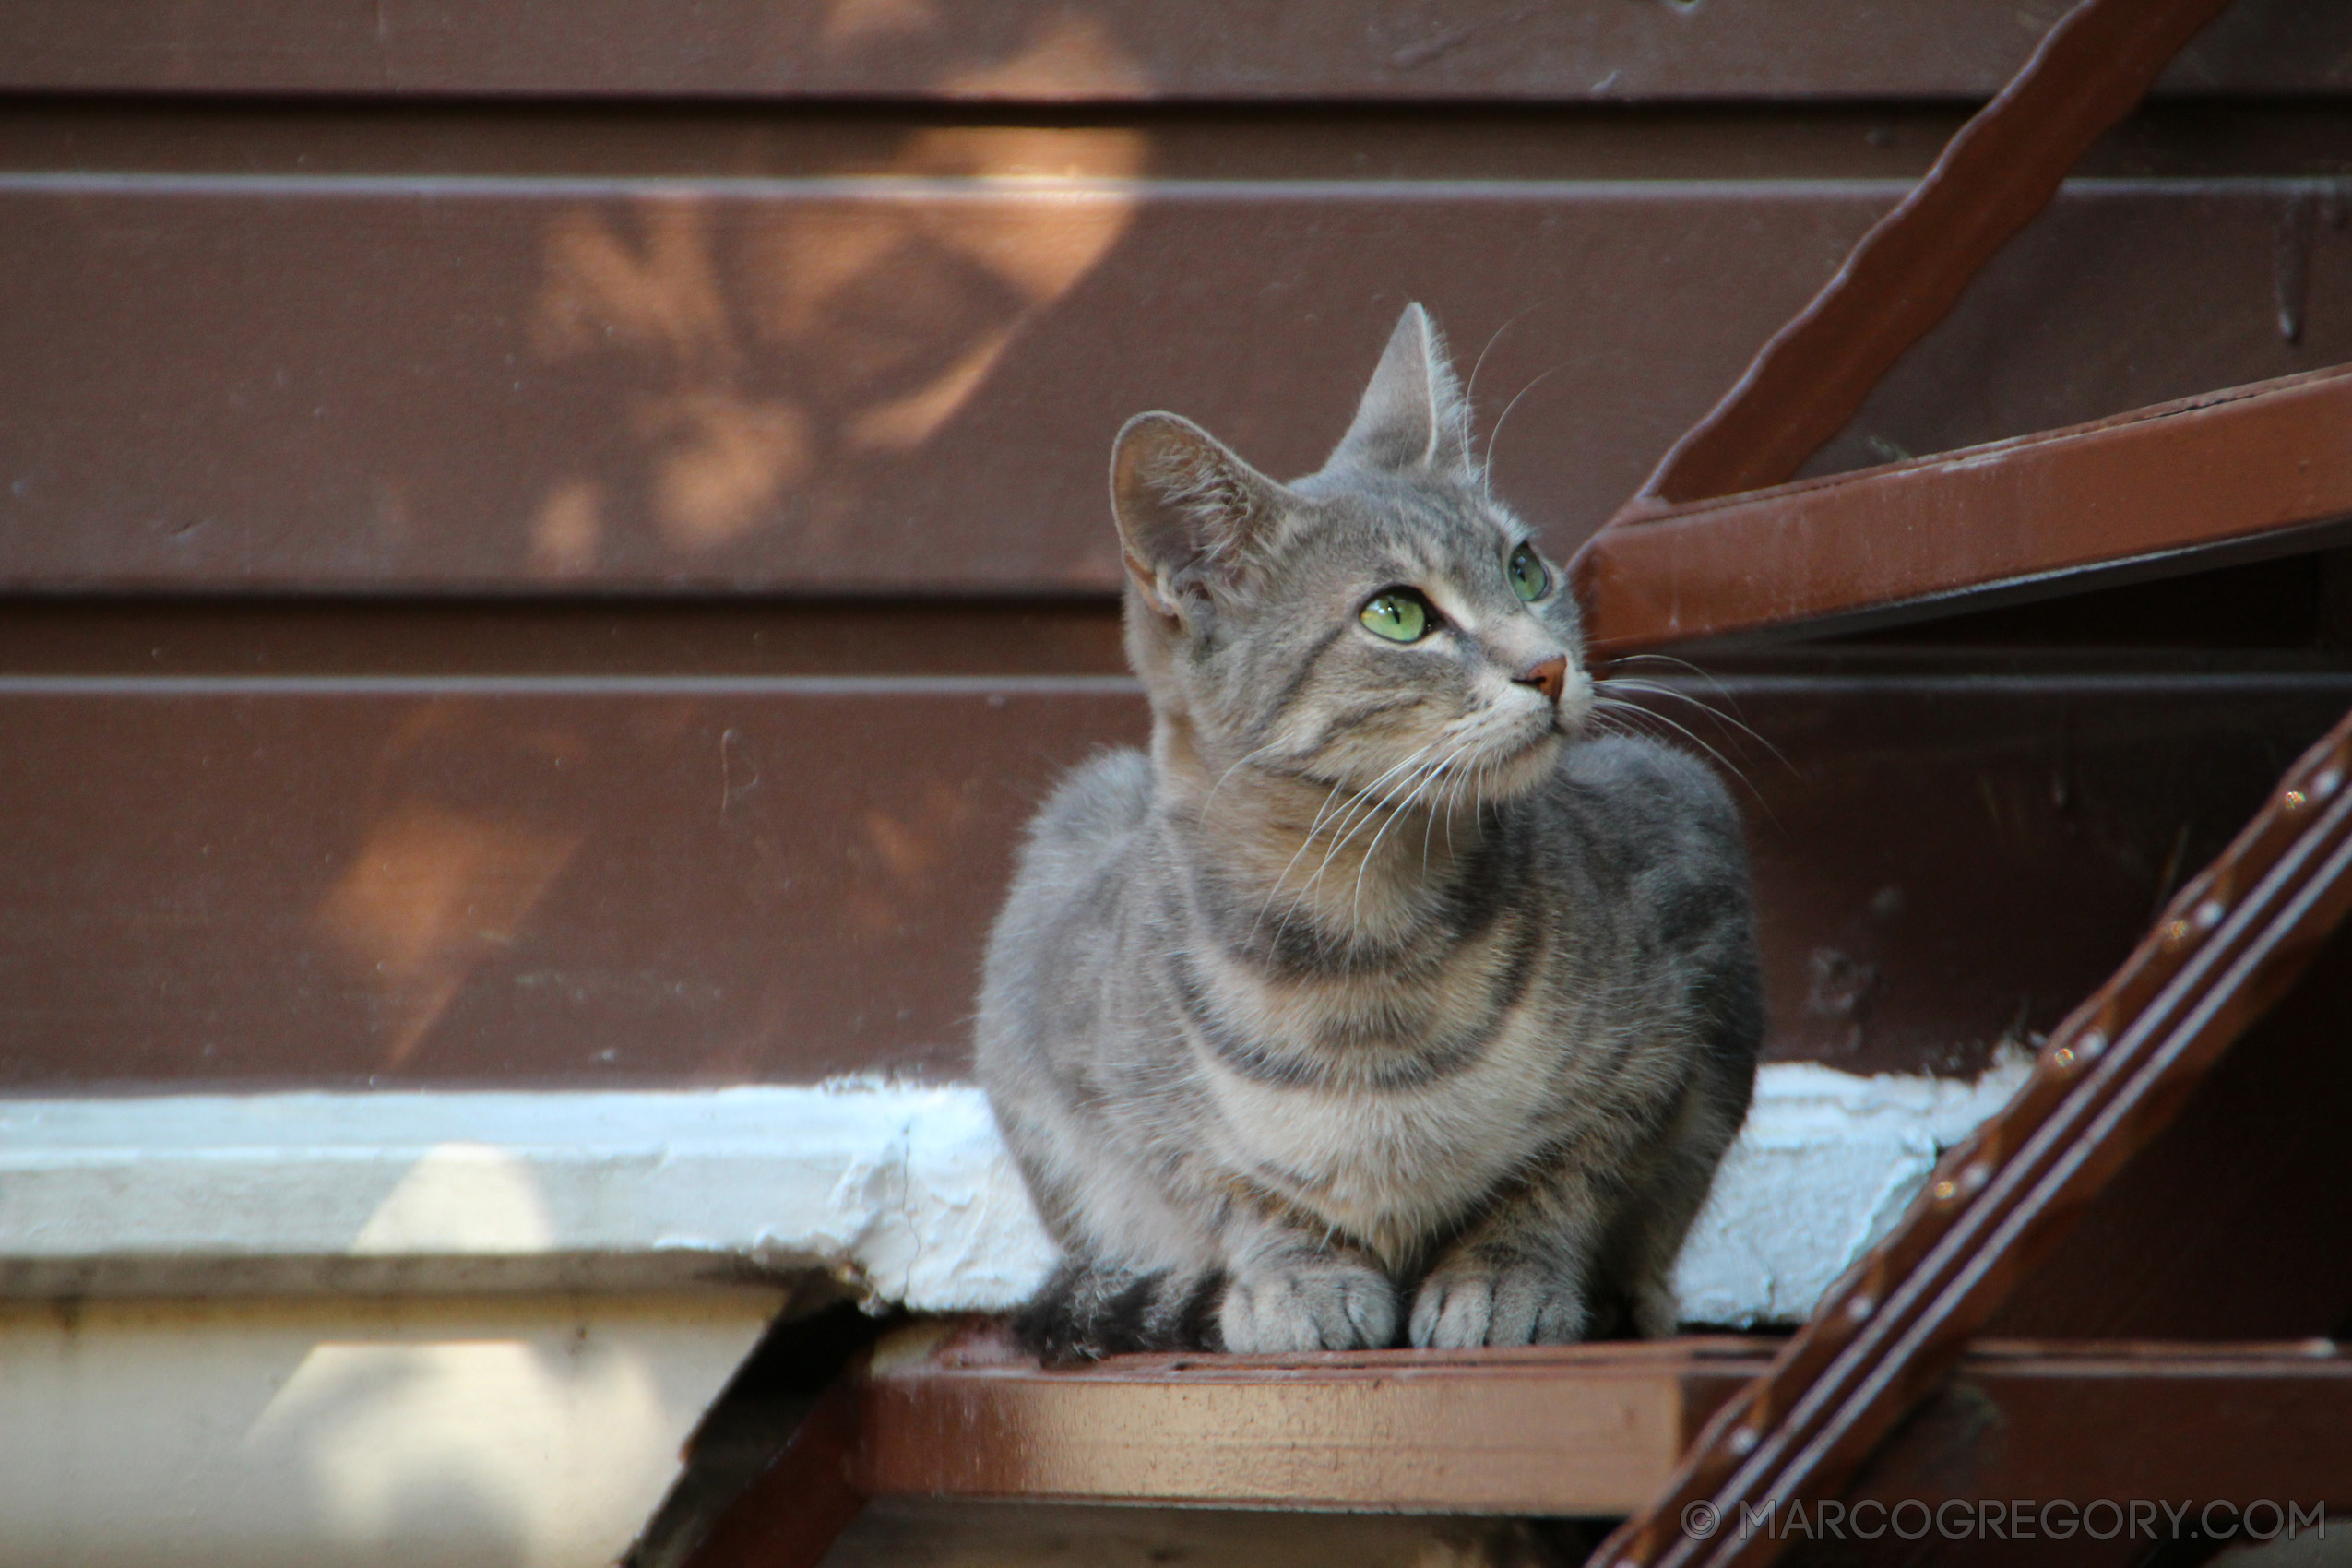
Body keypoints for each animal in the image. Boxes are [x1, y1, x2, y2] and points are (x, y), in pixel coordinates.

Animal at [964, 305, 1759, 1363]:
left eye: (1524, 568)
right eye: (1397, 614)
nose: (1550, 665)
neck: (1363, 946)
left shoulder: (1681, 945)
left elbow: (1563, 1170)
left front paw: (1501, 1275)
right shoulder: (1078, 1048)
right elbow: (1227, 1183)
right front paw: (1300, 1277)